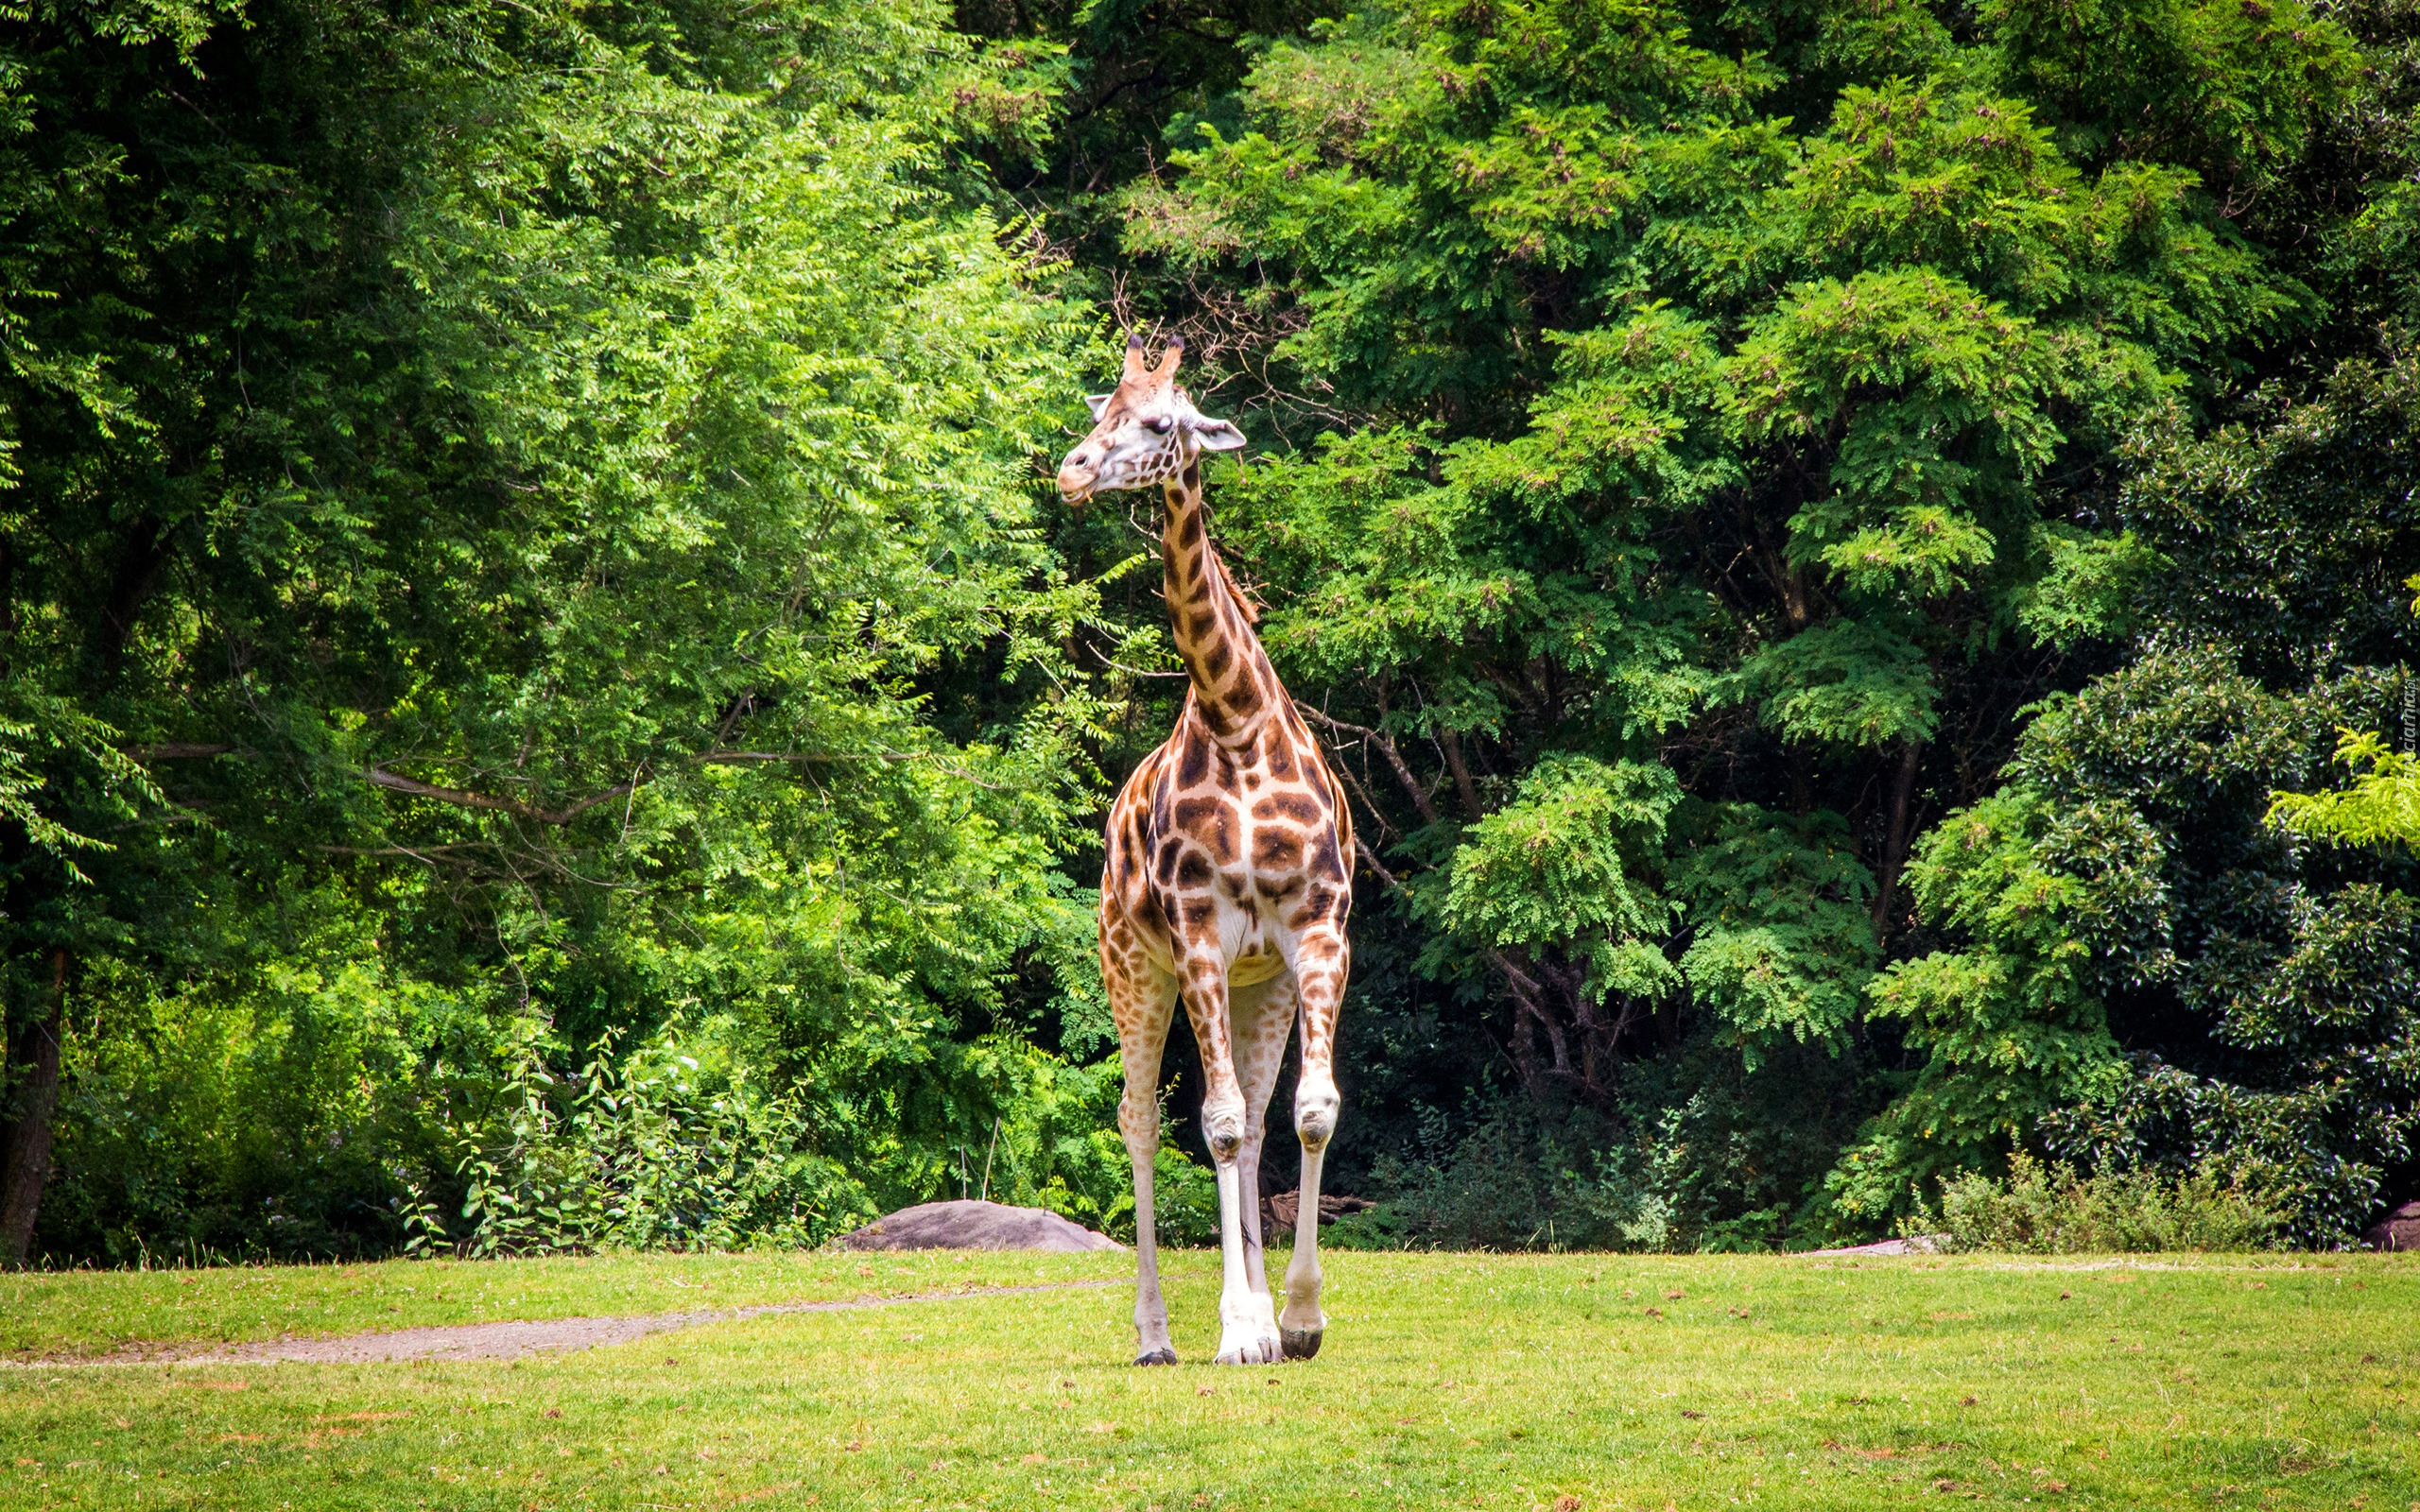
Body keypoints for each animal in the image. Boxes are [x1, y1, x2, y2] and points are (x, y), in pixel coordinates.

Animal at [1060, 334, 1364, 1364]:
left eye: (1159, 422)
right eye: (1097, 414)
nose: (1072, 471)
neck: (1237, 724)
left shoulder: (1318, 934)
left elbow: (1306, 1113)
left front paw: (1297, 1319)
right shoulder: (1194, 934)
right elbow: (1219, 1125)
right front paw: (1238, 1328)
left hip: (1254, 984)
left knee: (1260, 1125)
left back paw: (1266, 1321)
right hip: (1132, 965)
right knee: (1145, 1123)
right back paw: (1155, 1334)